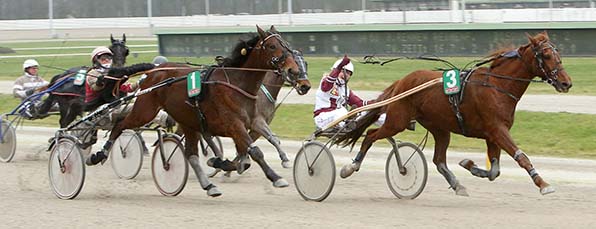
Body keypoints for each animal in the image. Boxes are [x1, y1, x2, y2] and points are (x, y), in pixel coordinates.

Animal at [92, 25, 302, 197]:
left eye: (287, 45)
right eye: (272, 46)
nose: (294, 71)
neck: (237, 84)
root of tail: (154, 70)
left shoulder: (250, 123)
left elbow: (247, 155)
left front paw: (221, 163)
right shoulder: (233, 124)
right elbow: (255, 152)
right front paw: (276, 177)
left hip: (187, 121)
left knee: (191, 154)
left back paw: (209, 185)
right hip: (145, 111)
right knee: (120, 125)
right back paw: (100, 154)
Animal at [336, 31, 572, 197]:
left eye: (558, 53)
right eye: (546, 55)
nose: (566, 83)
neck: (497, 85)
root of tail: (402, 81)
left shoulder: (493, 134)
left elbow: (494, 171)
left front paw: (470, 165)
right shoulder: (497, 130)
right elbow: (521, 157)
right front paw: (543, 184)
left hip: (440, 128)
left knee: (439, 160)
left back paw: (457, 185)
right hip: (397, 121)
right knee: (370, 136)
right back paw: (351, 166)